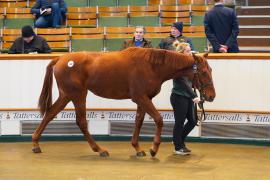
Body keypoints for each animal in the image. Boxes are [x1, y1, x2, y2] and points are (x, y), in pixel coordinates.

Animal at [33, 47, 215, 157]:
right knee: (81, 122)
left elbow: (139, 121)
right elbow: (158, 119)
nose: (211, 96)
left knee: (50, 114)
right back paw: (100, 149)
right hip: (77, 95)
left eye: (210, 70)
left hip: (66, 95)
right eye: (204, 72)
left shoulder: (144, 99)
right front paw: (153, 148)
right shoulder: (140, 97)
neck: (151, 66)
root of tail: (60, 58)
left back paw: (36, 143)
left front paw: (138, 148)